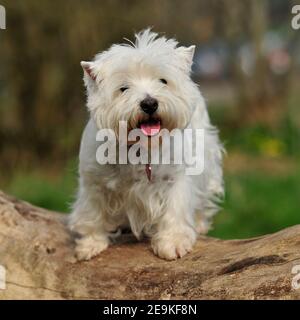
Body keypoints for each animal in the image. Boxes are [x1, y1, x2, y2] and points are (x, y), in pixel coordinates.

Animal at [68, 29, 223, 260]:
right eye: (123, 88)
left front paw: (173, 242)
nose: (149, 103)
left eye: (163, 81)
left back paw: (200, 223)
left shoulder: (177, 176)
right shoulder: (93, 181)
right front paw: (90, 244)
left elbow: (176, 208)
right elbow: (92, 212)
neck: (141, 148)